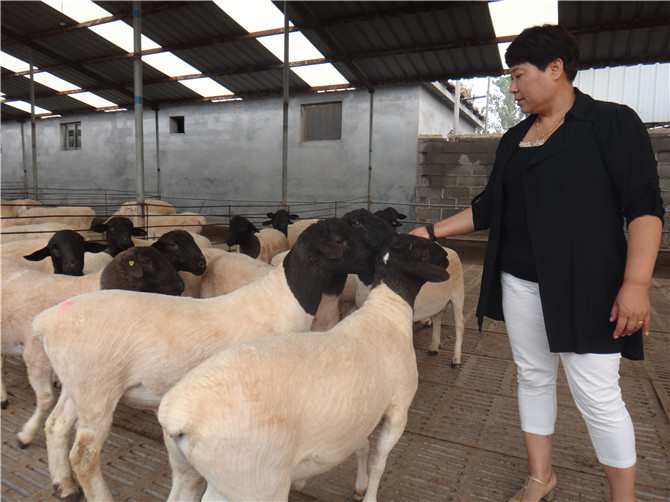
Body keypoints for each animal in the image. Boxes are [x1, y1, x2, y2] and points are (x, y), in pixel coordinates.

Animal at [31, 217, 388, 502]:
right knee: (85, 455)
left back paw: (63, 485)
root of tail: (48, 321)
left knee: (56, 426)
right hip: (98, 389)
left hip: (78, 385)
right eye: (341, 239)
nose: (376, 264)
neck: (285, 299)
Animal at [158, 234, 452, 502]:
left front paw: (359, 487)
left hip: (185, 470)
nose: (448, 257)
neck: (387, 311)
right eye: (424, 251)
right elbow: (379, 462)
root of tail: (179, 416)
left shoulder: (359, 414)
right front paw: (369, 494)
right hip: (251, 484)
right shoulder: (398, 411)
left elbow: (362, 448)